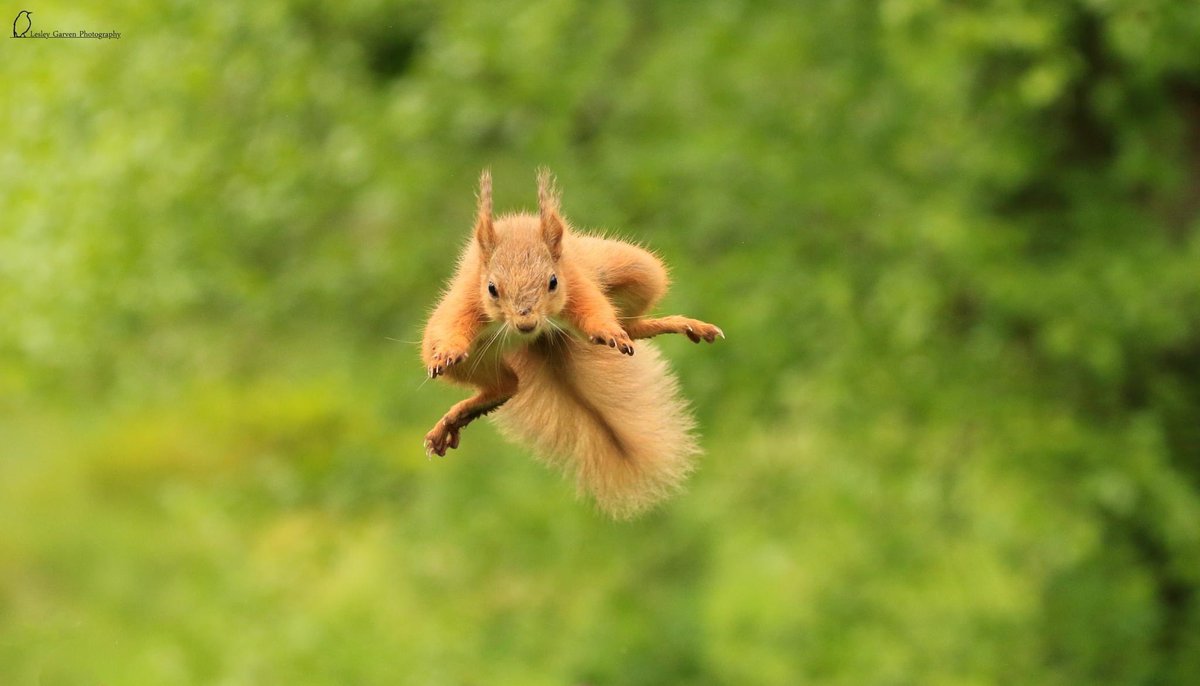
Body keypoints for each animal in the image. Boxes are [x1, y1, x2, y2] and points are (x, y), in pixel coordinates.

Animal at [420, 169, 723, 518]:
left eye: (553, 282)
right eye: (492, 288)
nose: (525, 323)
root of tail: (540, 339)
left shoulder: (577, 282)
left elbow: (597, 312)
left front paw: (608, 331)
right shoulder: (466, 298)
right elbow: (449, 327)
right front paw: (448, 351)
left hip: (636, 268)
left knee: (630, 326)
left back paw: (674, 326)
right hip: (477, 356)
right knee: (506, 384)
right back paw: (457, 416)